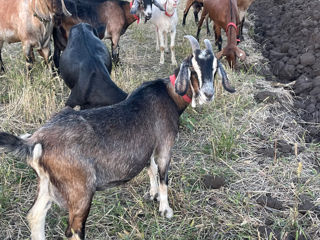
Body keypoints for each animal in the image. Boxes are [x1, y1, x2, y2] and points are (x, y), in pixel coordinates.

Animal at [0, 35, 235, 240]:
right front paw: (165, 209)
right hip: (80, 190)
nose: (208, 94)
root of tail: (35, 141)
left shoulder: (147, 146)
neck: (169, 96)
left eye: (215, 70)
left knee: (35, 216)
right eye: (193, 69)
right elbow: (163, 176)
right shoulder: (164, 145)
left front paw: (152, 195)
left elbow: (150, 169)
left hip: (47, 183)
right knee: (73, 229)